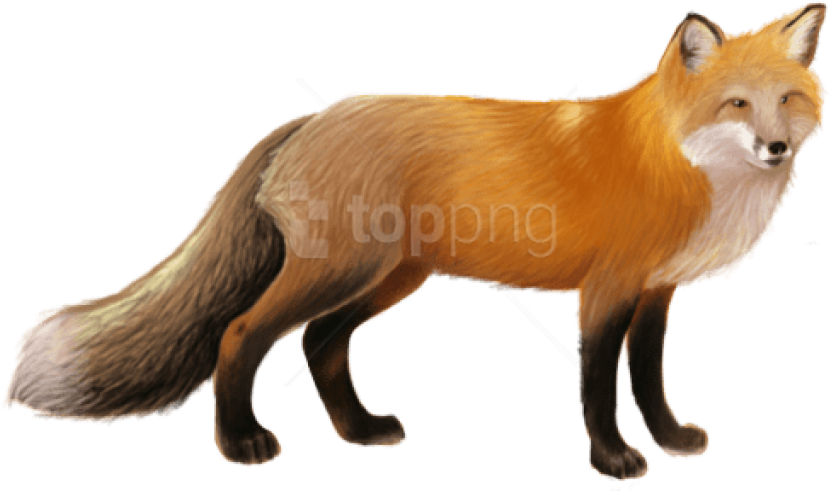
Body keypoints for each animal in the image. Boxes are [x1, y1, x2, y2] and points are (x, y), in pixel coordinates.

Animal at [3, 3, 826, 482]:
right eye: (735, 104)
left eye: (787, 98)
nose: (777, 147)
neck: (678, 162)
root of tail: (315, 117)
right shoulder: (606, 292)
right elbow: (597, 385)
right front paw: (616, 459)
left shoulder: (656, 291)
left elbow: (650, 379)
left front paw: (670, 439)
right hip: (341, 272)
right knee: (241, 334)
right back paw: (241, 442)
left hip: (385, 280)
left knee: (321, 344)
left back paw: (360, 430)